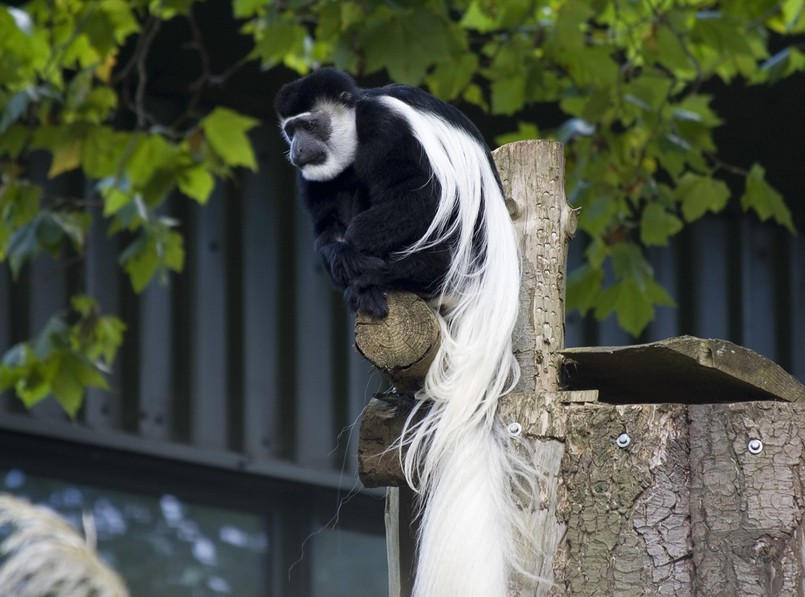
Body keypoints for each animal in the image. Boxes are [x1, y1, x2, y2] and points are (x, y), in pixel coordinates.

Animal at [274, 71, 532, 596]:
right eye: (290, 129)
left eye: (309, 124)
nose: (296, 149)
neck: (354, 132)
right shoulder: (320, 179)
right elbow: (328, 218)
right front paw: (339, 256)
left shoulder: (388, 132)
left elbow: (418, 195)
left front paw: (354, 253)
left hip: (454, 258)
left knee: (431, 218)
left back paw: (379, 277)